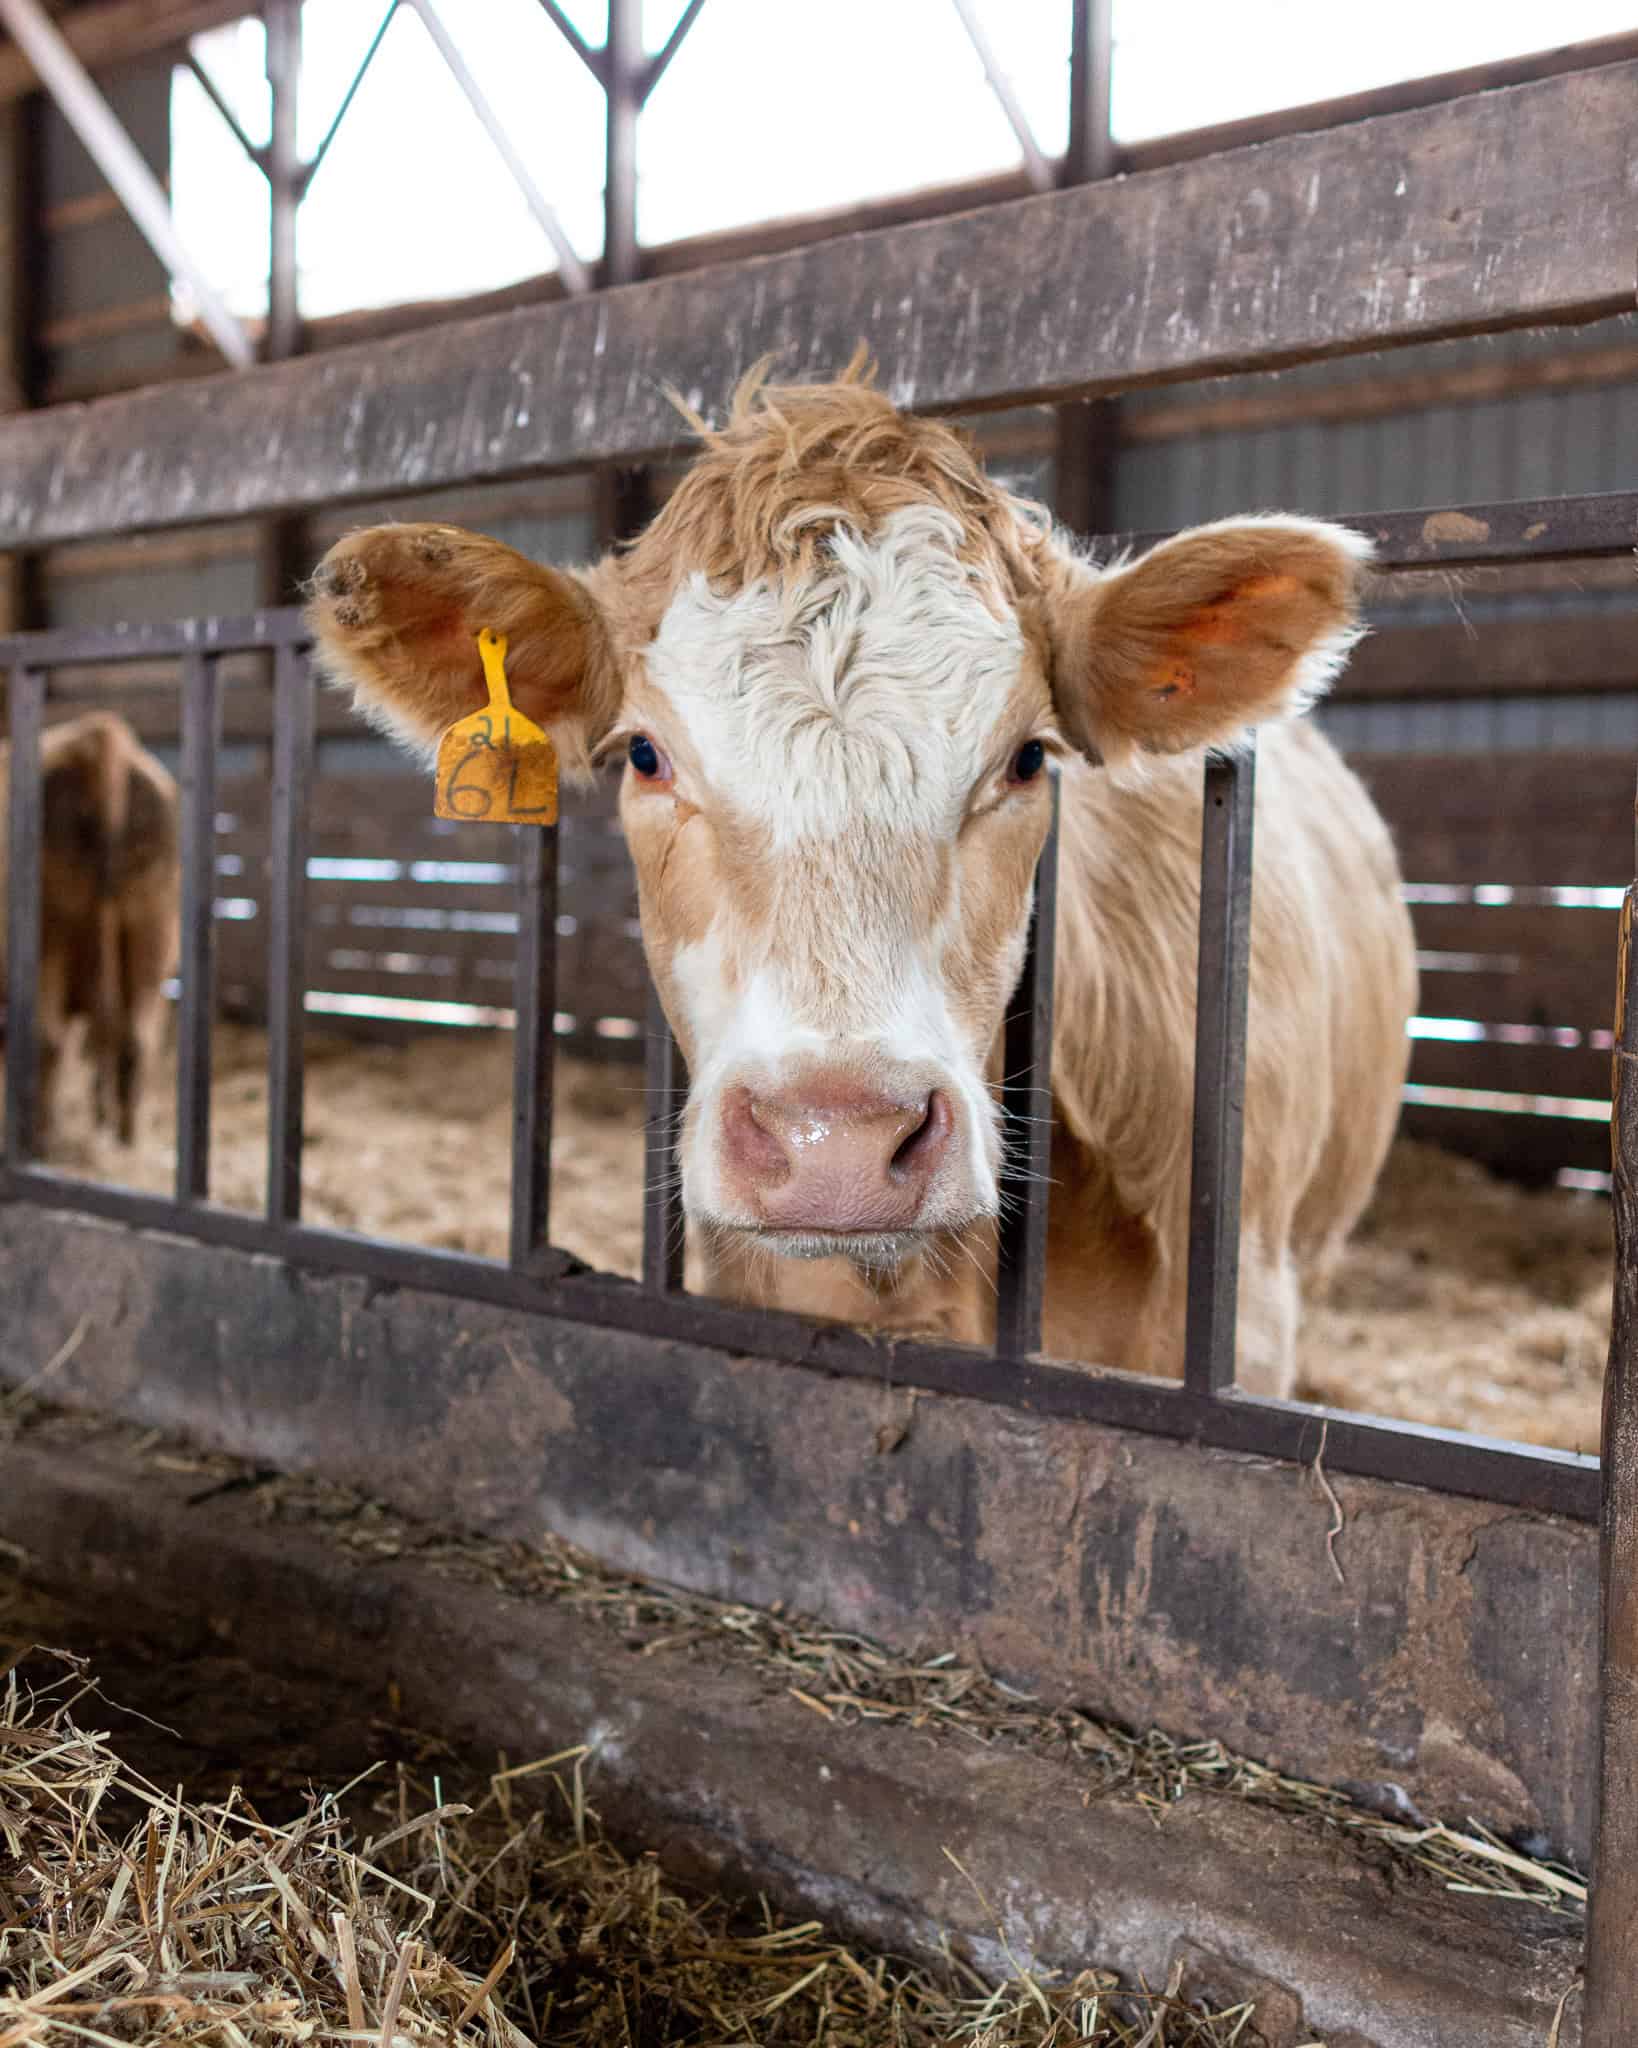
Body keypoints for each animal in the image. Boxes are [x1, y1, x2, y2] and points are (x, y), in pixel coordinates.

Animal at [0, 710, 180, 1149]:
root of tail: (100, 736)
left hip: (50, 935)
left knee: (48, 1039)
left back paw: (43, 1137)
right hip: (150, 929)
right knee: (131, 1040)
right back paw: (125, 1139)